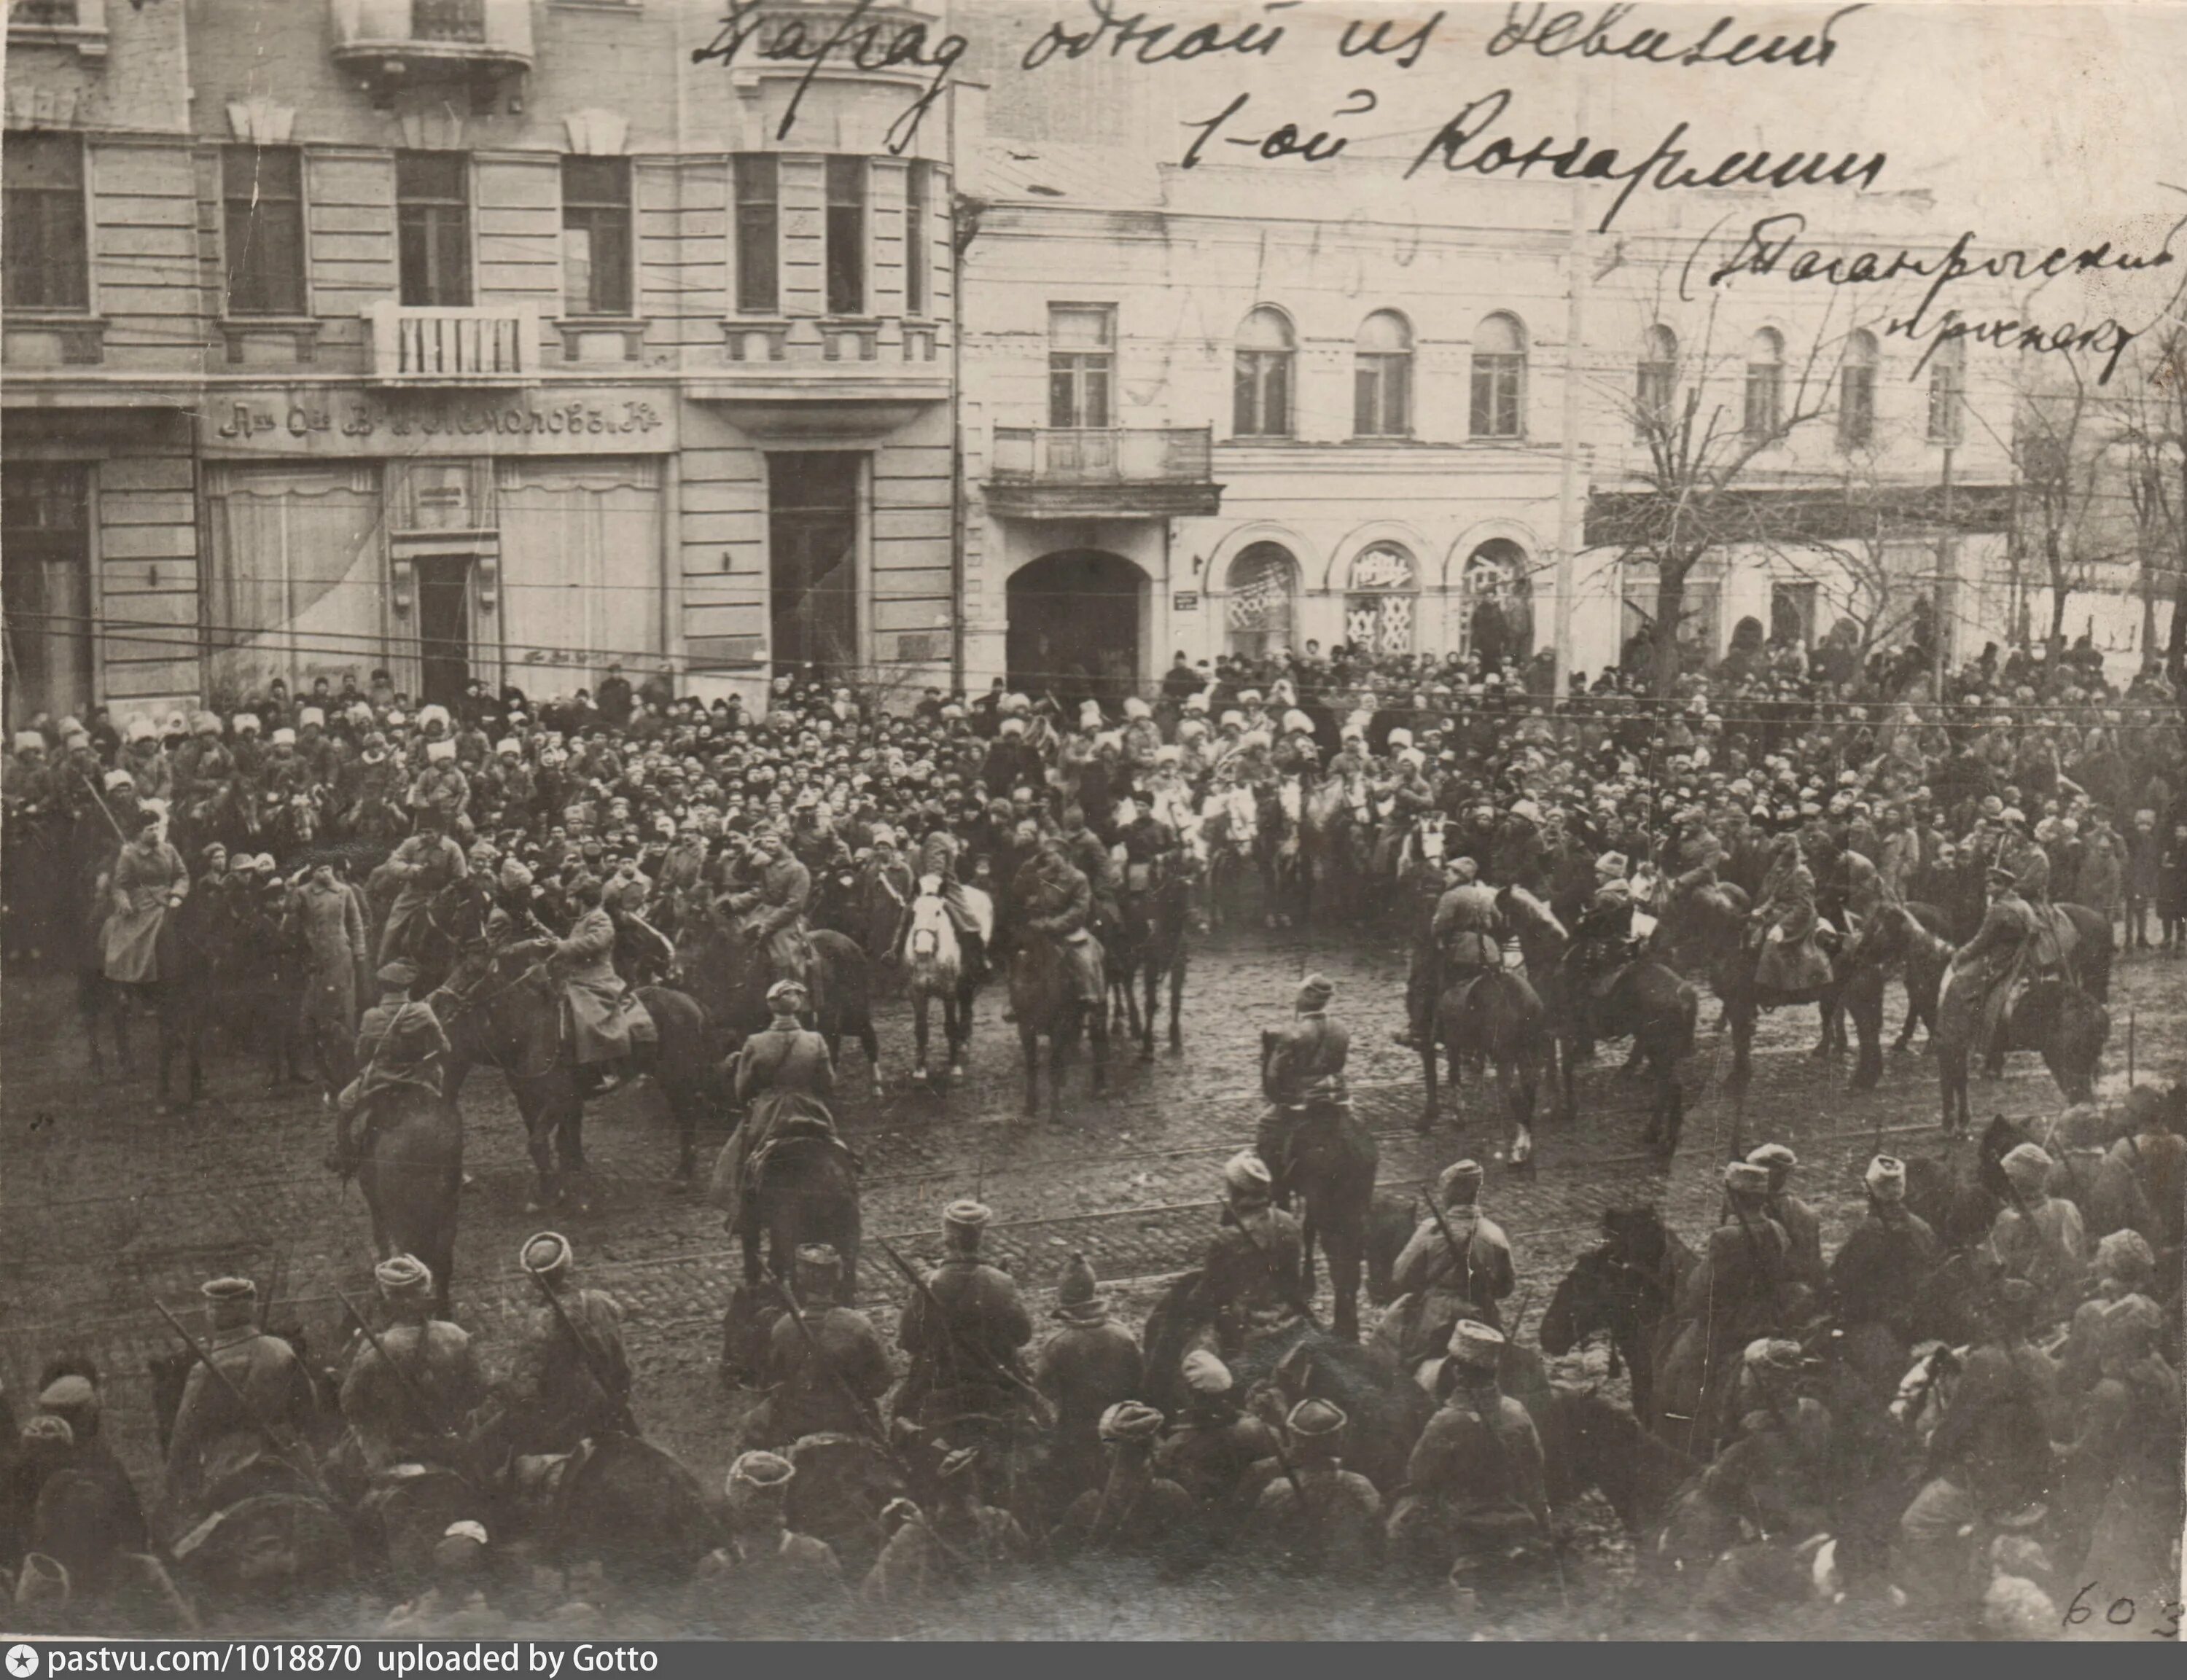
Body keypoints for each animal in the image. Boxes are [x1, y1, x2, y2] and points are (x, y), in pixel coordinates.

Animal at [1010, 927, 1111, 1120]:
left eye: (1031, 970)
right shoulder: (1025, 1028)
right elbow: (1032, 1065)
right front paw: (1030, 1107)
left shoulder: (1059, 1026)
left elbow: (1053, 1065)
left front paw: (1055, 1113)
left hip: (1098, 1007)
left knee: (1098, 1038)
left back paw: (1101, 1087)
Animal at [1417, 958, 1557, 1172]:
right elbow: (1474, 1069)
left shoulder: (1453, 1043)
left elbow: (1454, 1075)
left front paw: (1459, 1115)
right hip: (1527, 1055)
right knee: (1529, 1093)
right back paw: (1525, 1145)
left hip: (1506, 1059)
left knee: (1516, 1096)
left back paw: (1517, 1152)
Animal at [1496, 879, 1697, 1154]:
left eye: (1499, 910)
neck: (1551, 960)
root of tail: (1681, 991)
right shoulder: (1563, 1034)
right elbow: (1562, 1068)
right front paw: (1566, 1107)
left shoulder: (1551, 1033)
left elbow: (1557, 1070)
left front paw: (1558, 1108)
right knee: (1666, 1087)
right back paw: (1658, 1133)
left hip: (1659, 1048)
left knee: (1671, 1087)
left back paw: (1661, 1137)